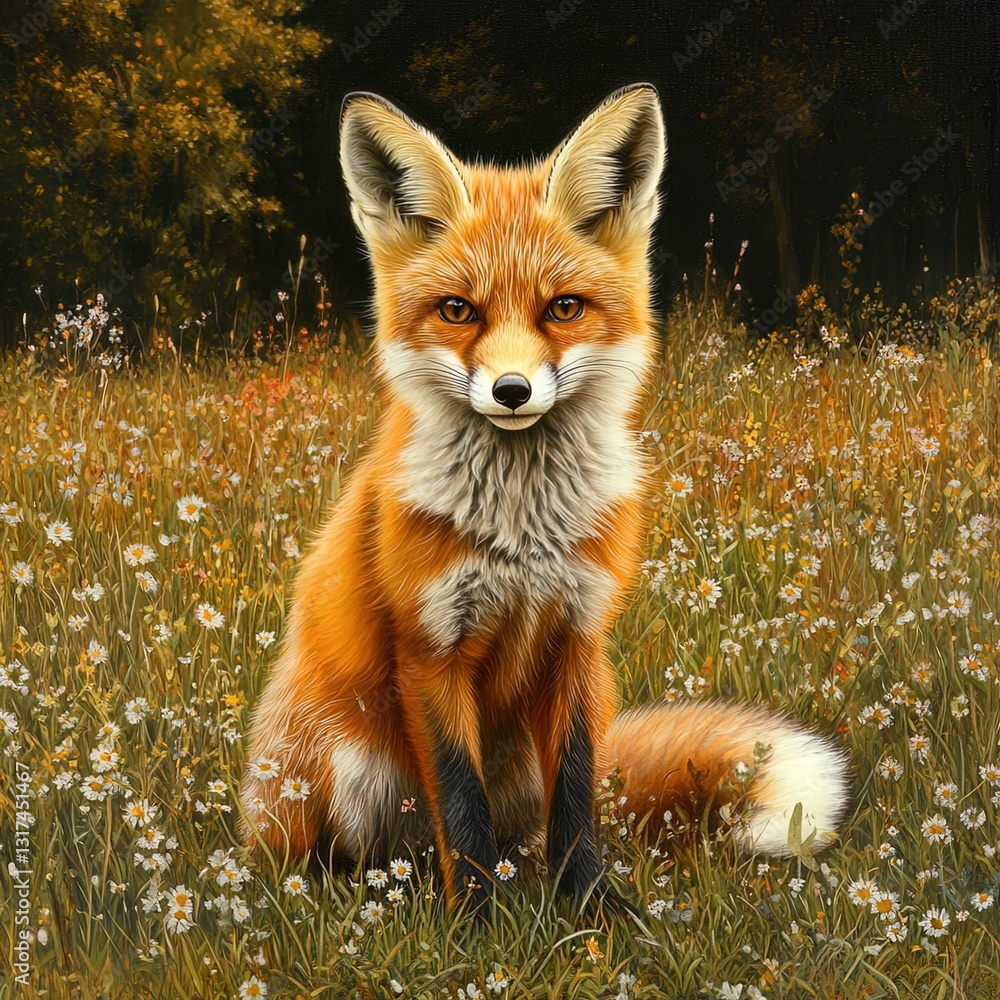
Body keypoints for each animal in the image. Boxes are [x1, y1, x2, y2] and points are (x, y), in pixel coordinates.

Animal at [240, 84, 850, 908]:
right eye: (458, 310)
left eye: (563, 308)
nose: (511, 390)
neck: (522, 534)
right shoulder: (429, 647)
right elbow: (459, 803)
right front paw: (474, 919)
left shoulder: (579, 638)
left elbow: (578, 795)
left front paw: (589, 908)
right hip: (344, 765)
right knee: (355, 857)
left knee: (524, 836)